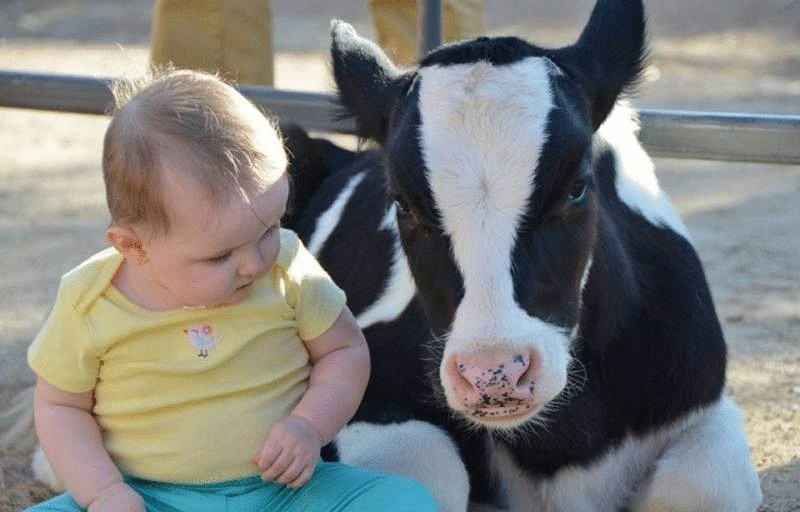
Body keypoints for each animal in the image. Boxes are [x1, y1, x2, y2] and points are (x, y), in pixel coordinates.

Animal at [284, 1, 760, 512]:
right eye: (403, 204)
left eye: (576, 187)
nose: (492, 374)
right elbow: (424, 469)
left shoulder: (700, 398)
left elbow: (698, 486)